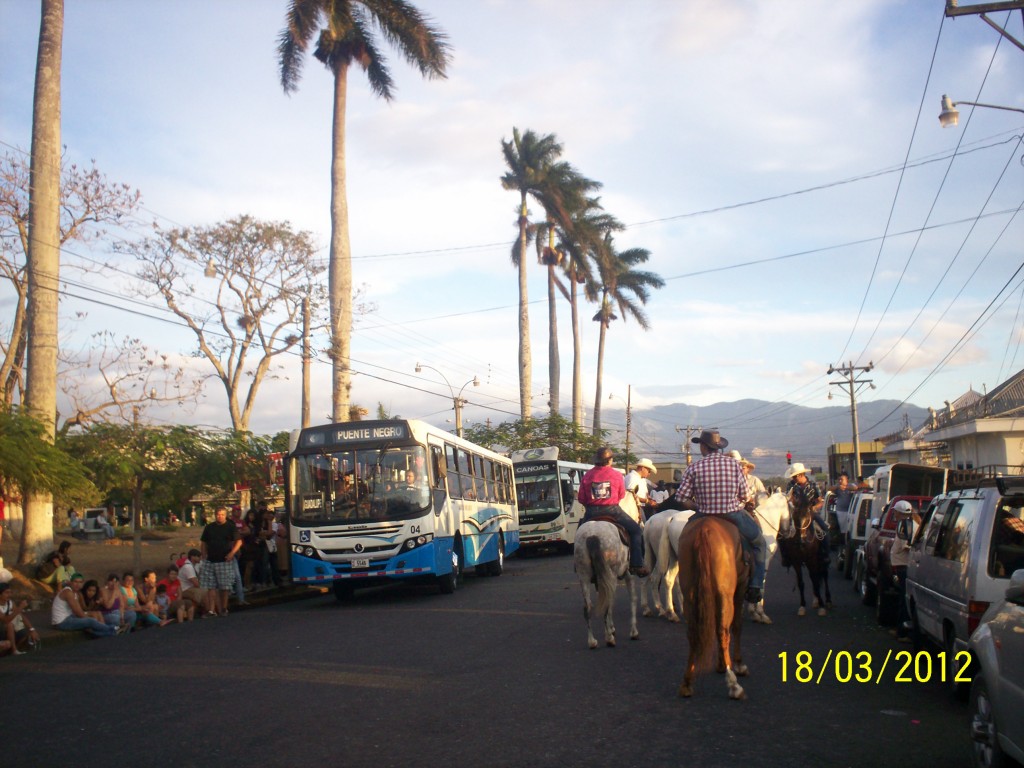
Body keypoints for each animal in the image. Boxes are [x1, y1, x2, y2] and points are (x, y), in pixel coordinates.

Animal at [573, 518, 634, 651]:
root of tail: (592, 535)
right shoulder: (626, 574)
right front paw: (614, 630)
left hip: (584, 575)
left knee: (588, 607)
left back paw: (592, 642)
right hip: (611, 575)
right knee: (607, 603)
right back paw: (609, 639)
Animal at [679, 514, 745, 700]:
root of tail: (704, 531)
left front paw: (721, 664)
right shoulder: (740, 589)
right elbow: (737, 626)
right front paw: (738, 664)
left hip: (690, 594)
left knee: (693, 633)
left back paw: (687, 683)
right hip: (725, 595)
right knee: (724, 631)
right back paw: (734, 684)